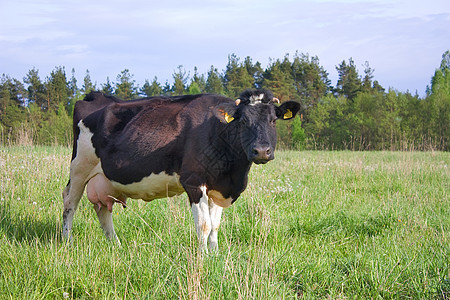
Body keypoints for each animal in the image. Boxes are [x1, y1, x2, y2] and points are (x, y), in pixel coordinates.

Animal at [61, 88, 300, 251]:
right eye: (242, 121)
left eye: (273, 120)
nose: (261, 151)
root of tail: (95, 96)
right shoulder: (194, 181)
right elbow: (203, 225)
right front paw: (203, 257)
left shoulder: (218, 186)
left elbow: (215, 225)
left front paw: (215, 253)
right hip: (79, 168)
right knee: (70, 203)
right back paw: (67, 241)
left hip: (104, 179)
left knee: (102, 209)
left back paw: (116, 244)